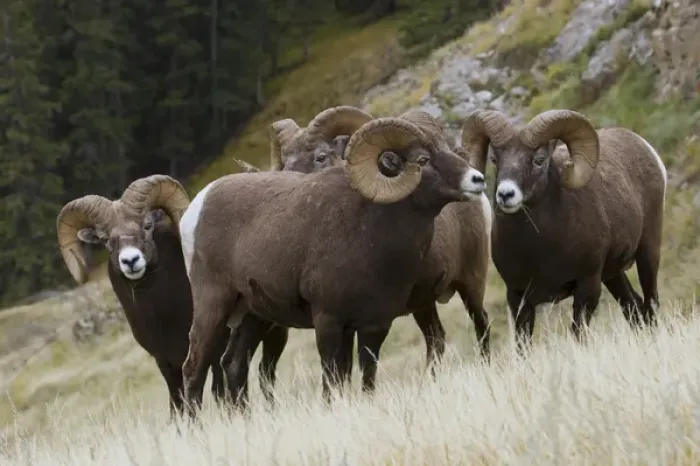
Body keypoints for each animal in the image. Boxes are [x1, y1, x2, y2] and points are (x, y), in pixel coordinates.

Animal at [56, 175, 229, 417]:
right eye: (106, 239)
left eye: (146, 226)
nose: (130, 260)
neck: (163, 317)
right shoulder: (166, 363)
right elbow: (177, 405)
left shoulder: (213, 349)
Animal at [178, 116, 488, 413]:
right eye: (422, 160)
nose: (477, 179)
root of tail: (198, 205)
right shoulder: (328, 321)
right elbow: (332, 376)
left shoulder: (373, 325)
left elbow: (364, 375)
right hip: (213, 306)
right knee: (195, 368)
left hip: (253, 315)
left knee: (233, 365)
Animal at [460, 109, 666, 352]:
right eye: (495, 159)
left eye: (539, 160)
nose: (505, 194)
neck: (539, 249)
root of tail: (645, 147)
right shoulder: (518, 297)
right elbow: (523, 347)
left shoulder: (587, 287)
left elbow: (578, 334)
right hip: (613, 274)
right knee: (633, 307)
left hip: (648, 252)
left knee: (650, 301)